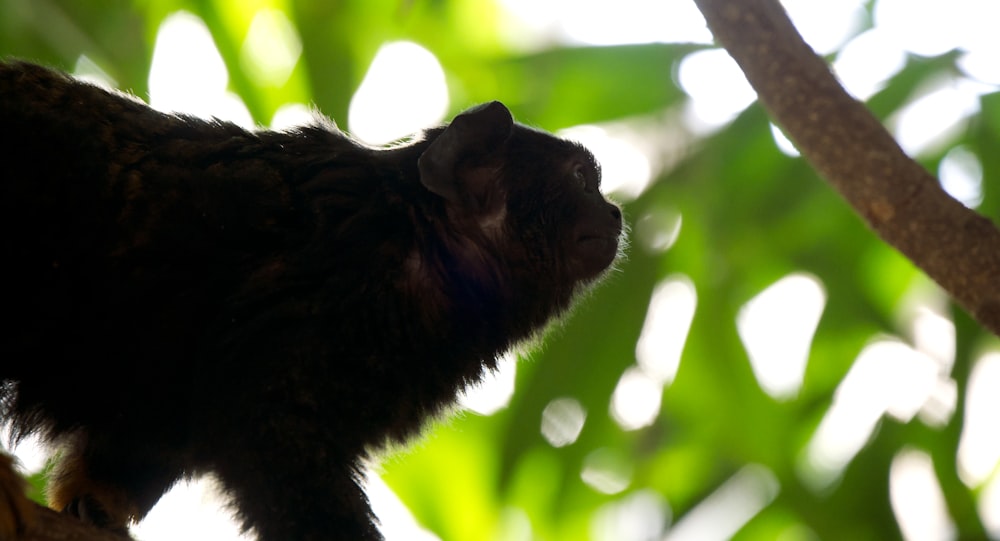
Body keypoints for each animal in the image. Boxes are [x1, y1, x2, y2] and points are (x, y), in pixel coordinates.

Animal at [0, 60, 620, 540]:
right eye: (580, 180)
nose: (613, 212)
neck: (421, 243)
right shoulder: (331, 291)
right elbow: (262, 421)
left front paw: (96, 506)